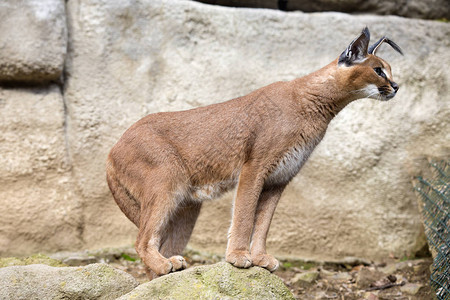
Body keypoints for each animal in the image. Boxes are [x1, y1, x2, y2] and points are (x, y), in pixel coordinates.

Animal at [107, 27, 402, 278]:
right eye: (378, 70)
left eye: (388, 70)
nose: (396, 86)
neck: (320, 106)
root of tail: (112, 149)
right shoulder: (254, 167)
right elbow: (245, 214)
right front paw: (238, 256)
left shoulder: (279, 179)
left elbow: (263, 223)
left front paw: (260, 258)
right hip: (166, 184)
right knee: (141, 240)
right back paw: (164, 263)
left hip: (187, 206)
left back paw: (167, 269)